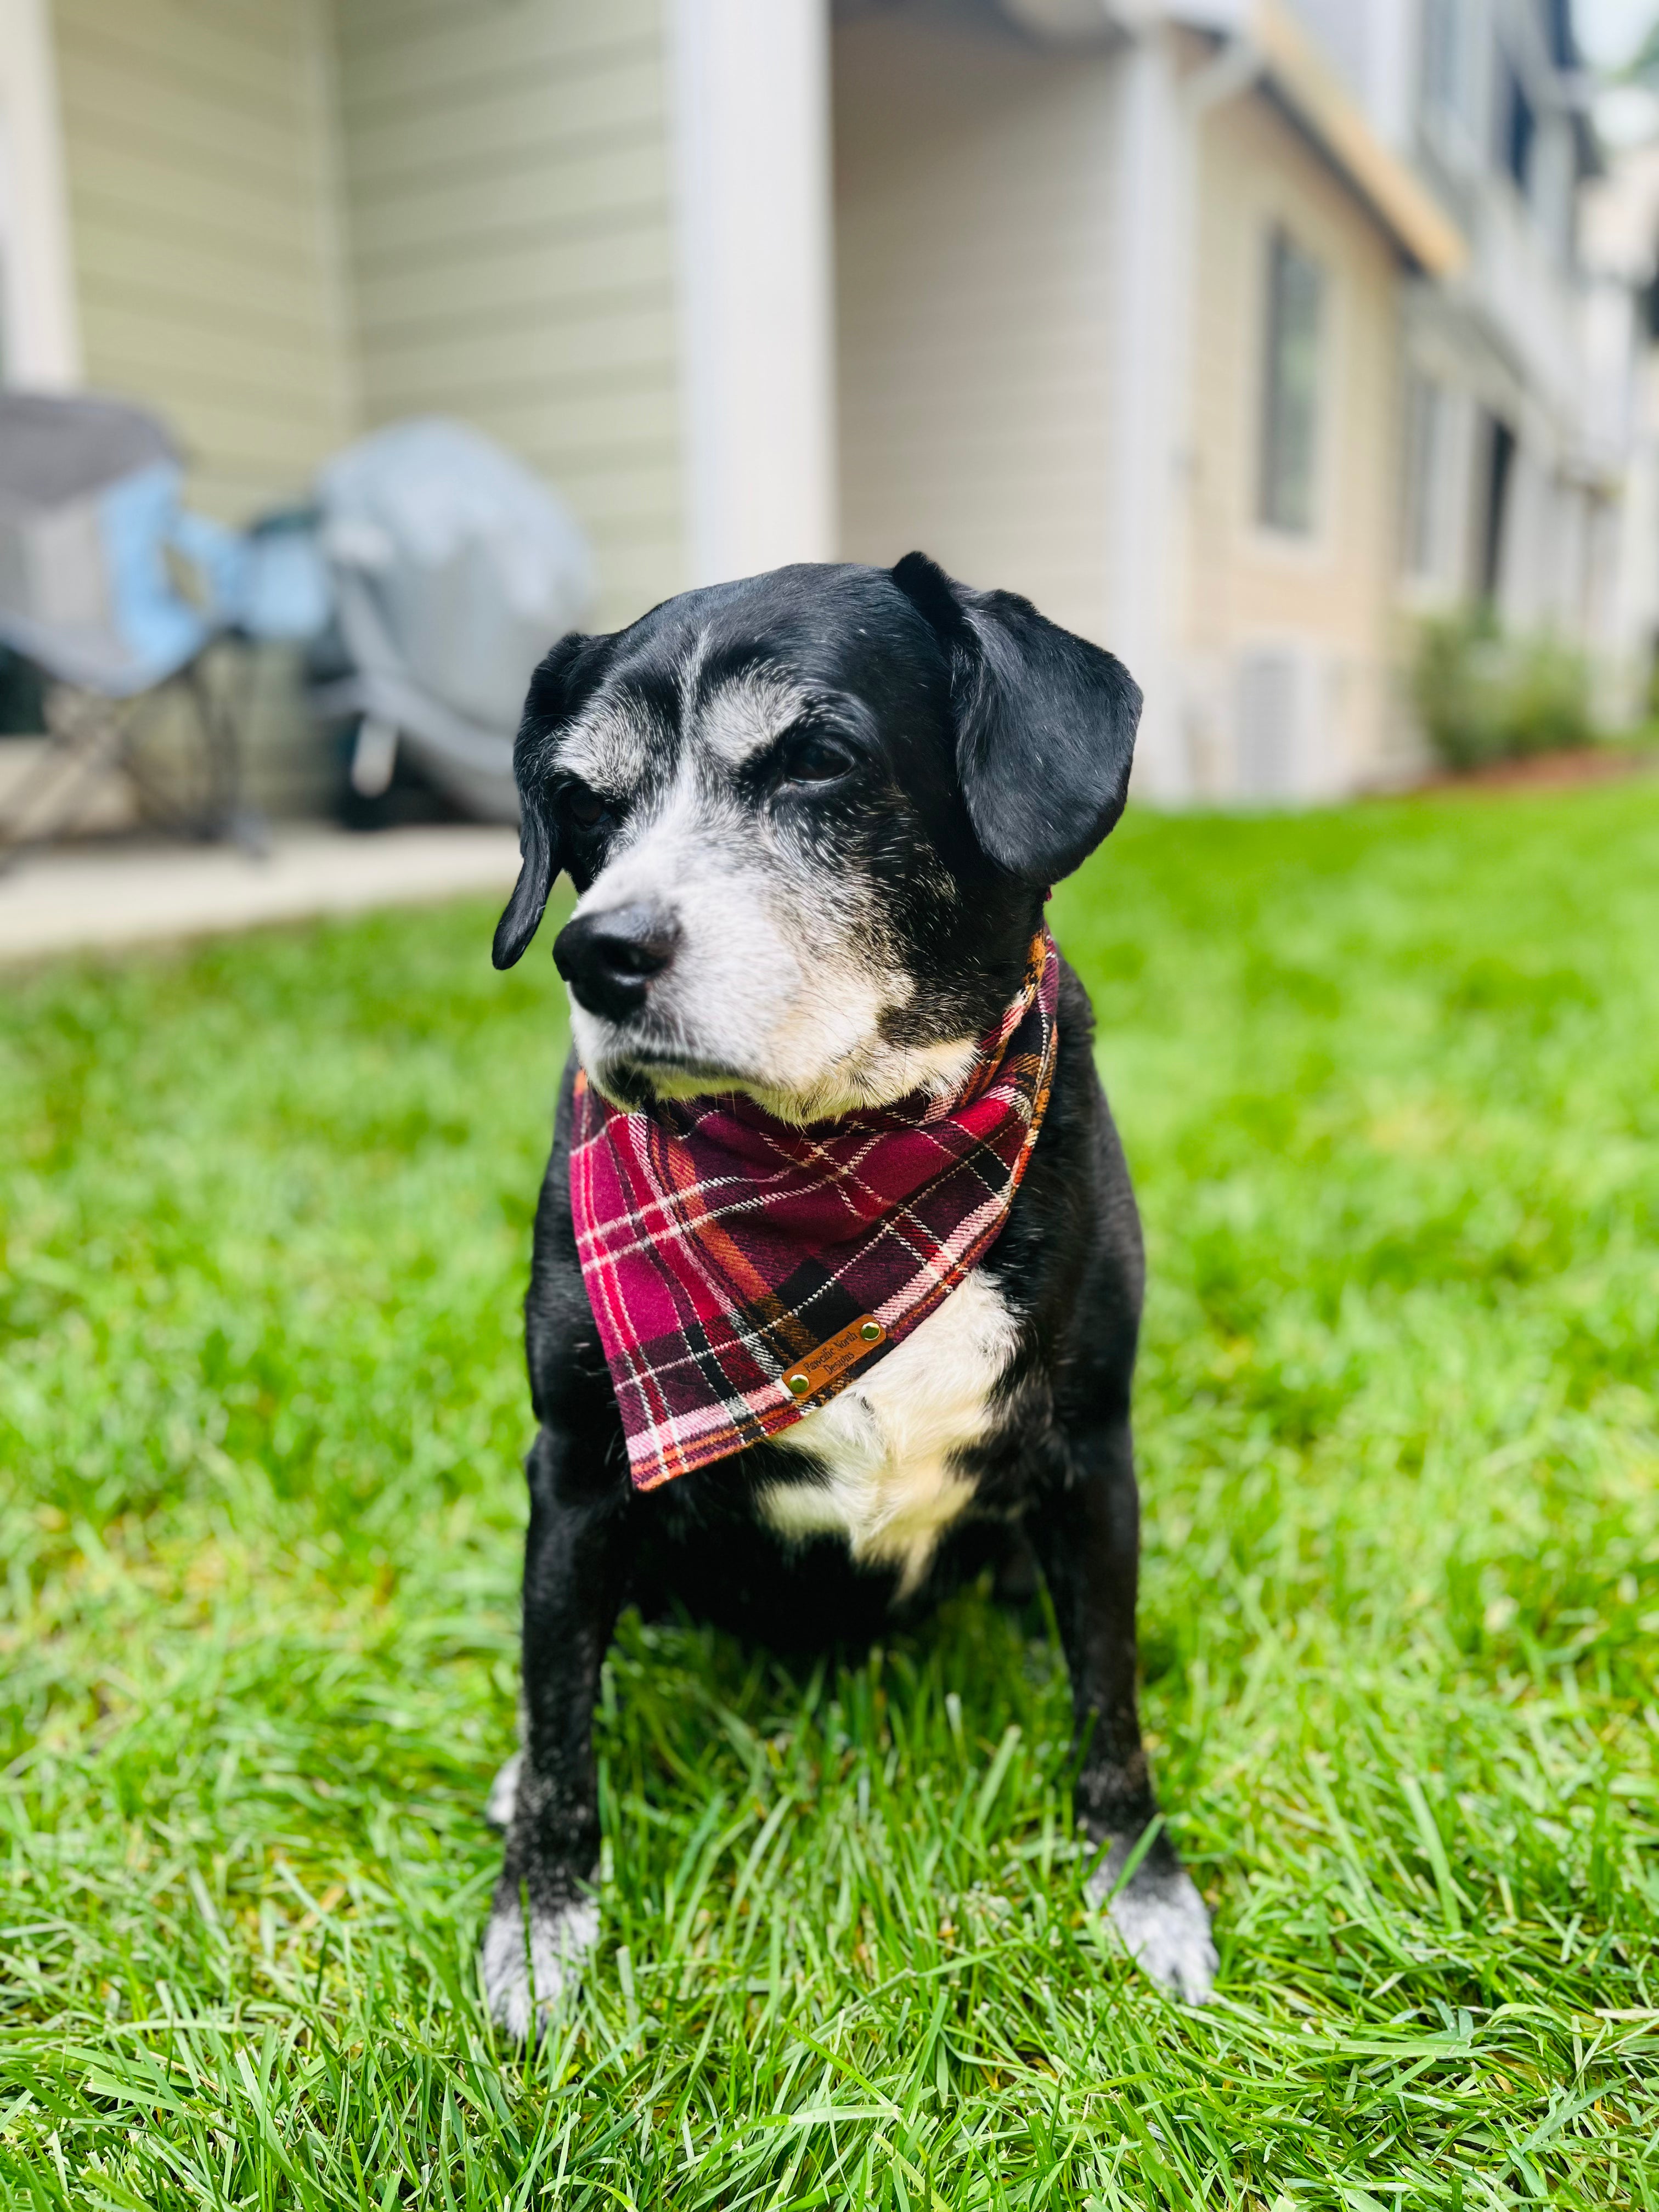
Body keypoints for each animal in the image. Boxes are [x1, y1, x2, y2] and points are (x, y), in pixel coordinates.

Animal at [479, 553, 1221, 2035]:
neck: (846, 1158)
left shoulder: (1093, 1448)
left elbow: (1111, 1702)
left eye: (818, 759)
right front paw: (540, 1920)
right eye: (580, 802)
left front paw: (1142, 1886)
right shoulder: (577, 1471)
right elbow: (562, 1715)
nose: (598, 951)